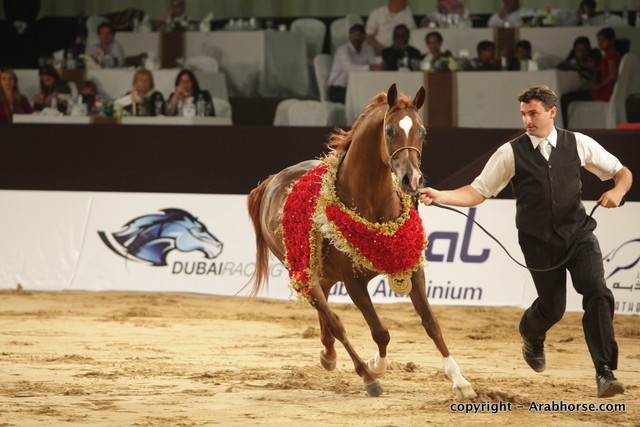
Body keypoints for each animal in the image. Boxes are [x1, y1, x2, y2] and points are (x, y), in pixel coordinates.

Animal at [246, 84, 476, 399]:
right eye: (389, 130)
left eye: (422, 131)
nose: (412, 180)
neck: (372, 207)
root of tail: (271, 183)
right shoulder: (354, 282)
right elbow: (381, 332)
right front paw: (375, 367)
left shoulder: (413, 271)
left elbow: (431, 324)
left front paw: (460, 380)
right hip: (303, 271)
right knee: (333, 319)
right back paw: (365, 375)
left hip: (324, 273)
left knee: (327, 313)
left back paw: (329, 354)